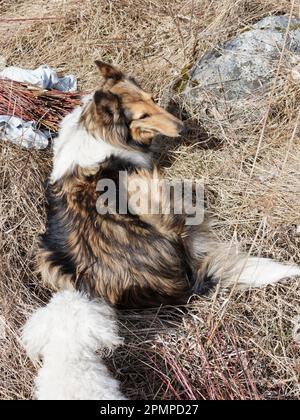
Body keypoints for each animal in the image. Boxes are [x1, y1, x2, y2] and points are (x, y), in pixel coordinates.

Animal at [36, 60, 298, 308]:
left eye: (152, 99)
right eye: (142, 116)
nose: (183, 128)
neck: (95, 129)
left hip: (49, 260)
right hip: (142, 186)